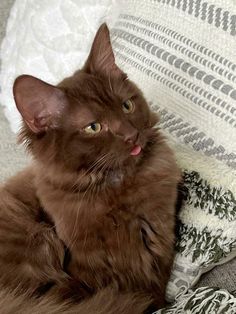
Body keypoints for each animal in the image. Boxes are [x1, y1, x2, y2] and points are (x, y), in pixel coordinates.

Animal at [0, 23, 180, 312]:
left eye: (127, 106)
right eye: (93, 127)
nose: (132, 135)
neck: (114, 187)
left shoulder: (160, 238)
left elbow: (156, 287)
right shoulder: (87, 266)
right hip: (35, 241)